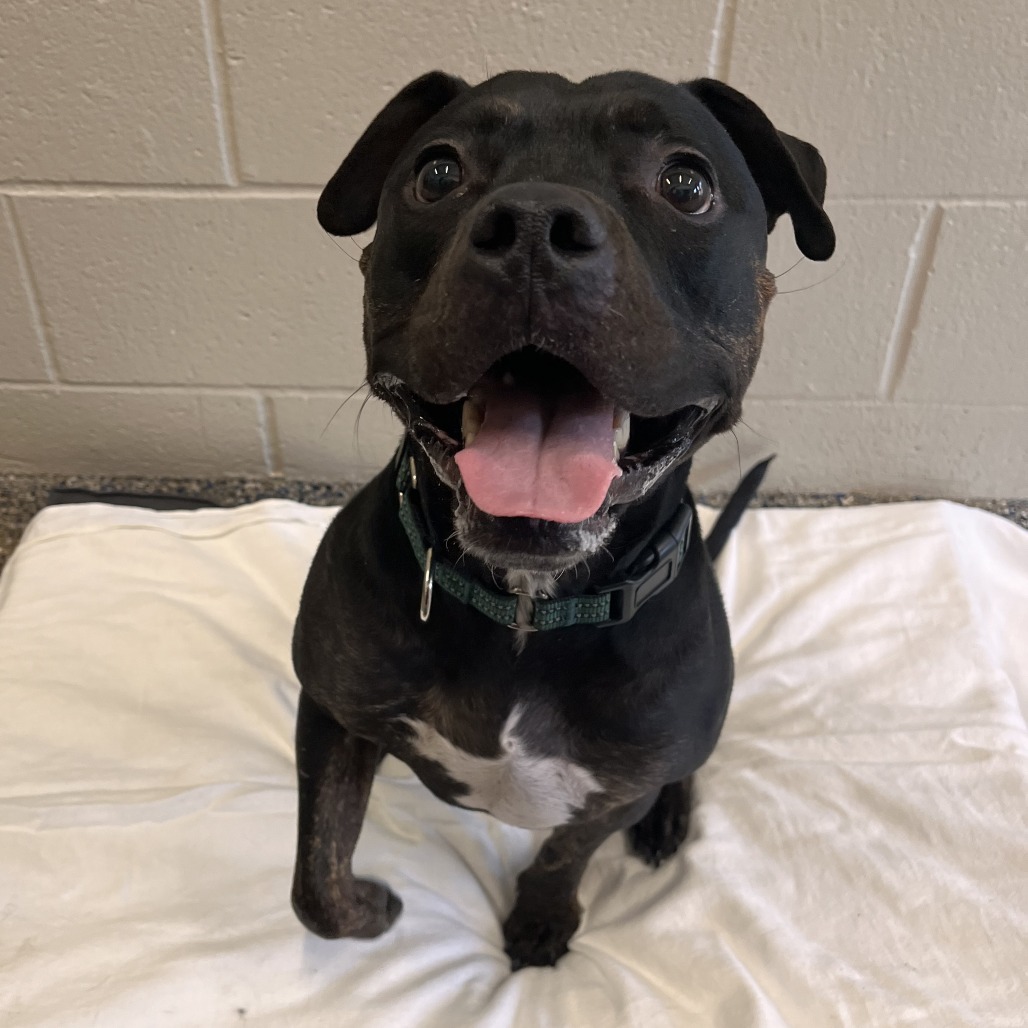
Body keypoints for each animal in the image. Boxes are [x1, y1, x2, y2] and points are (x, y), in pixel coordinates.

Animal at [290, 70, 834, 970]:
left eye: (686, 184)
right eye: (437, 173)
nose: (536, 228)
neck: (527, 603)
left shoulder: (616, 787)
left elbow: (566, 851)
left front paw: (543, 917)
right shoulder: (333, 710)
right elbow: (316, 885)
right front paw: (370, 909)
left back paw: (669, 817)